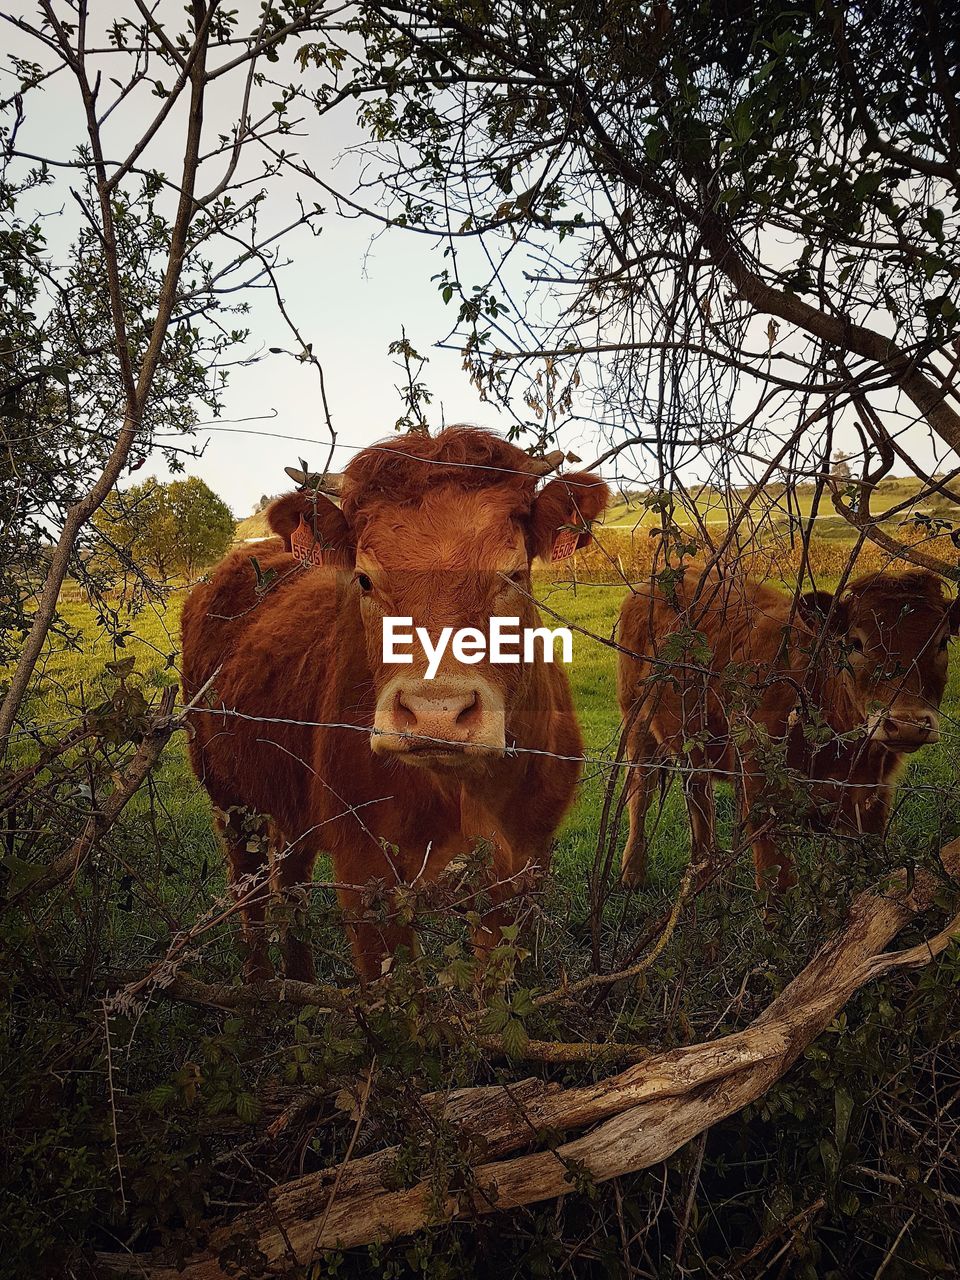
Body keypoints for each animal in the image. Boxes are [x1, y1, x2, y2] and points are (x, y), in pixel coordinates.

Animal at [619, 565, 957, 896]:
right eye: (855, 643)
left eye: (942, 642)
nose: (908, 725)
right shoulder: (762, 794)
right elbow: (778, 888)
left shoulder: (872, 799)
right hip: (637, 723)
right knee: (641, 789)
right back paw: (633, 872)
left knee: (697, 792)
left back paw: (703, 871)